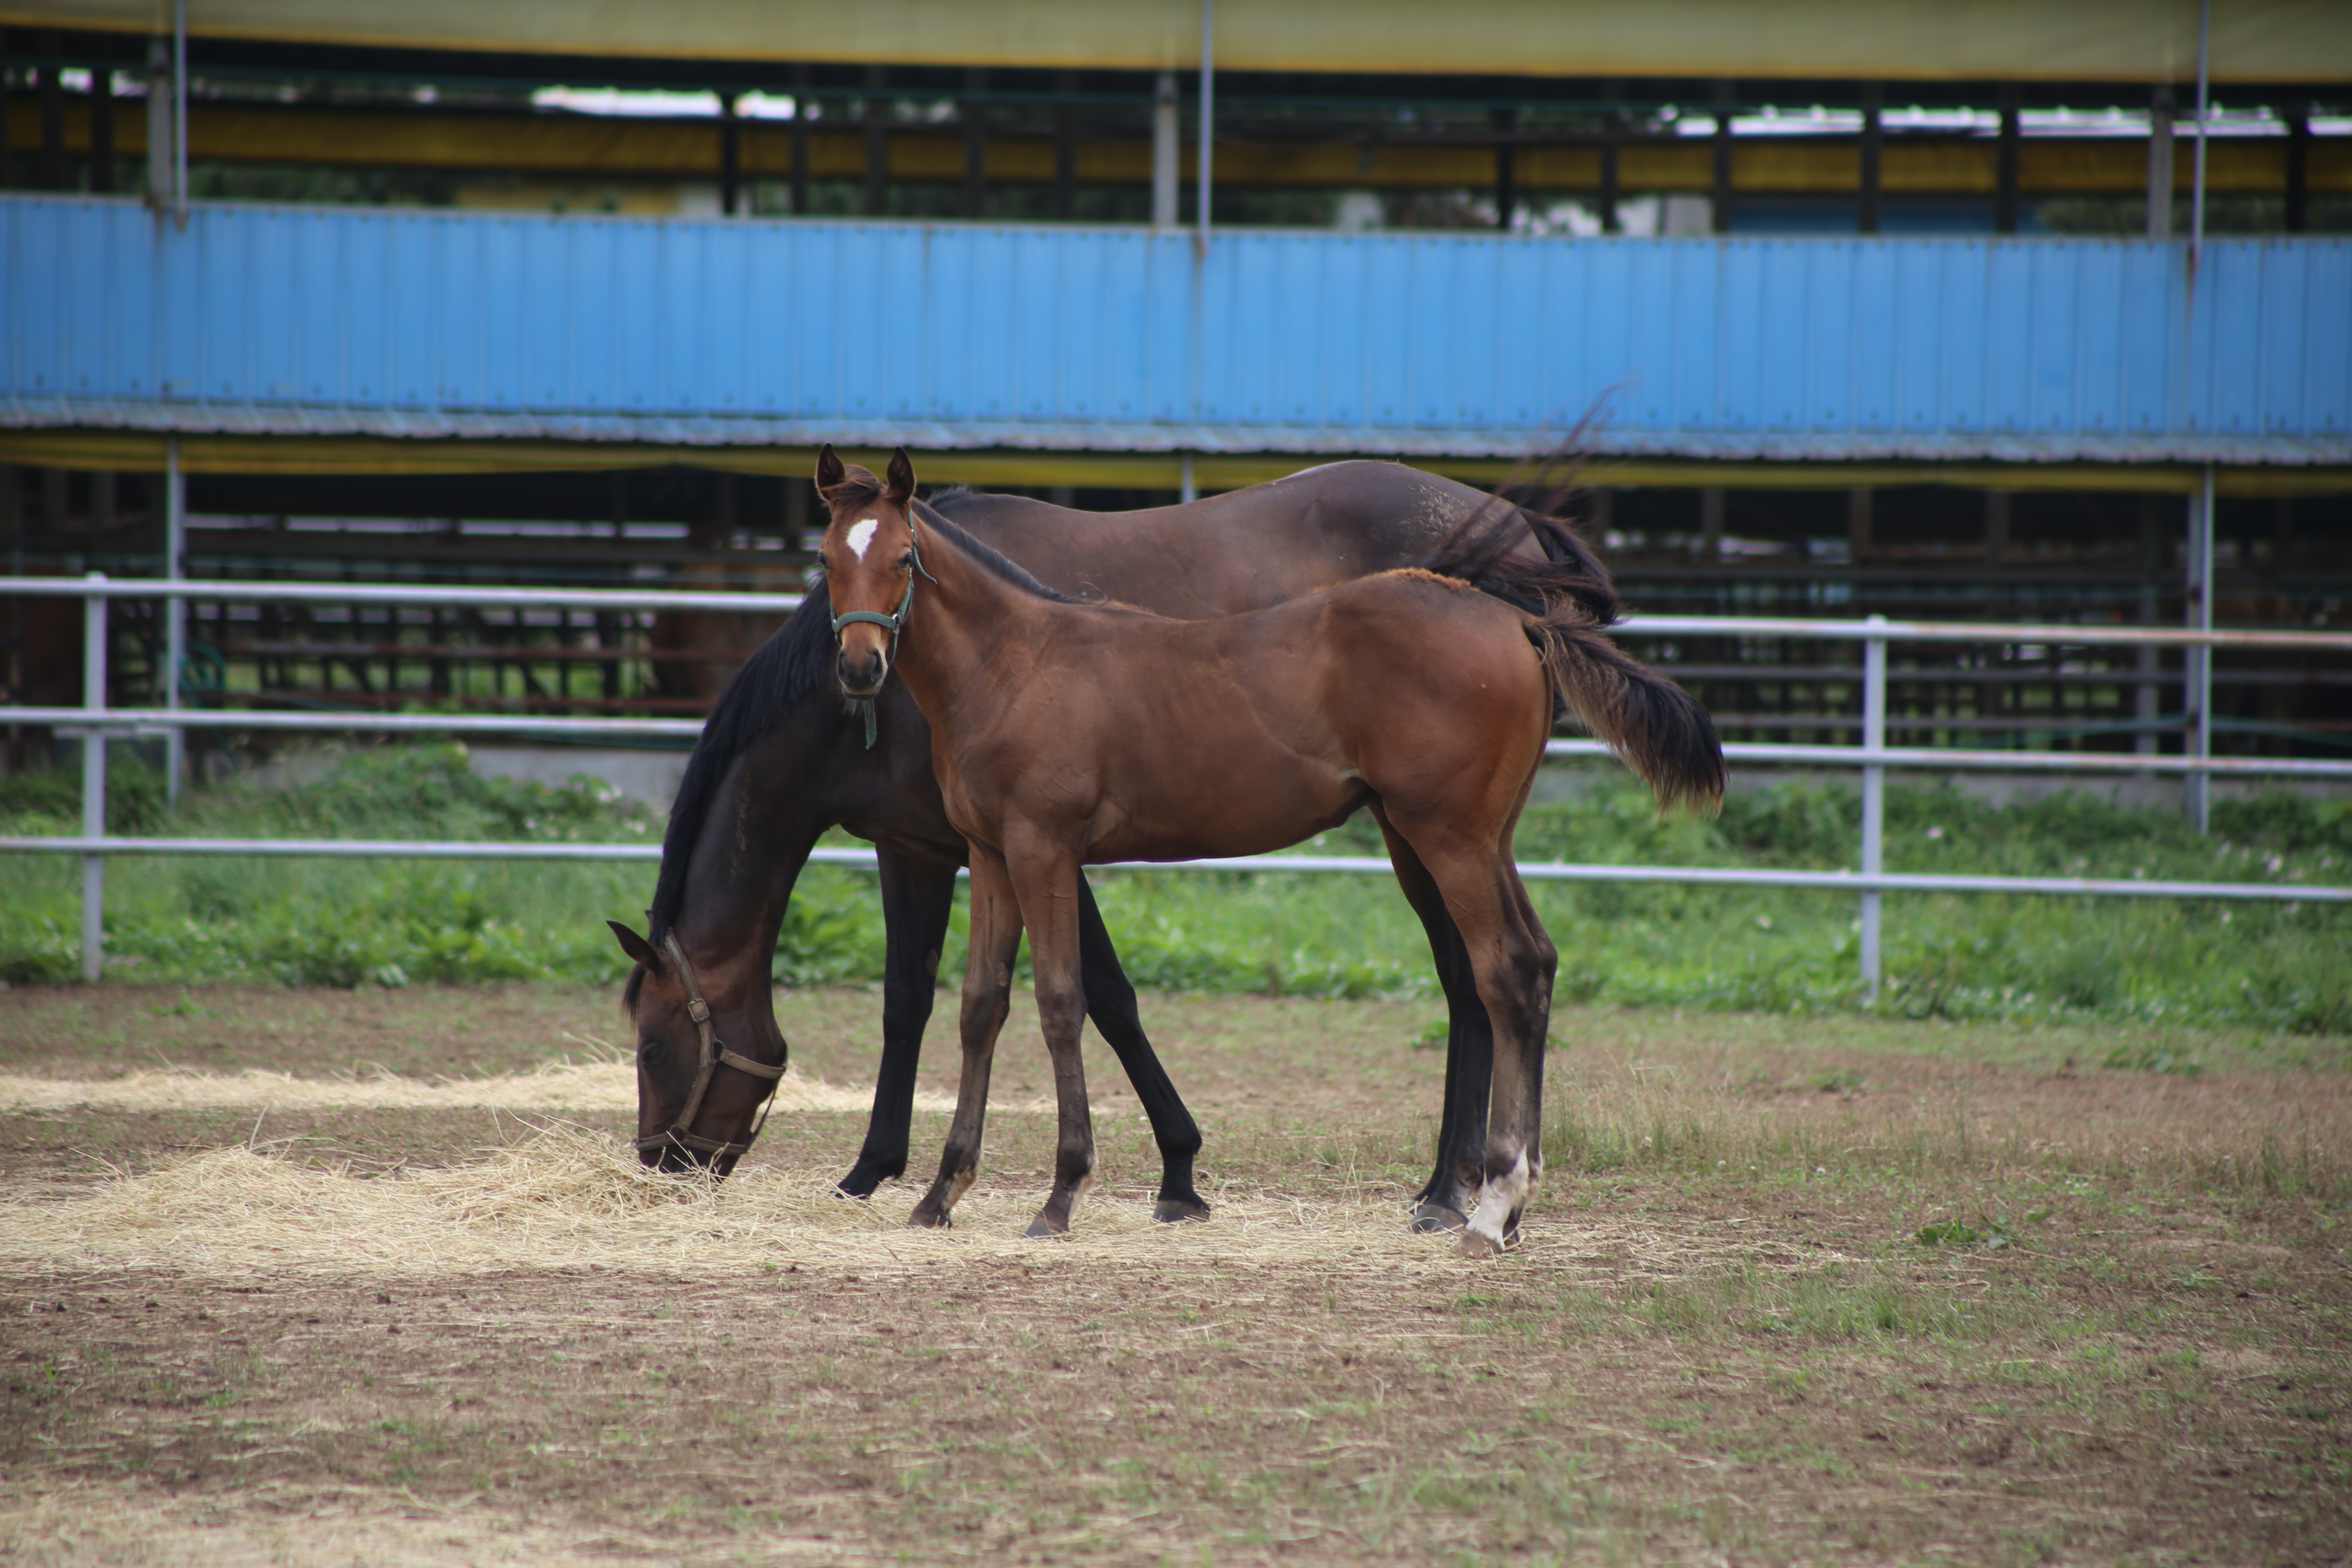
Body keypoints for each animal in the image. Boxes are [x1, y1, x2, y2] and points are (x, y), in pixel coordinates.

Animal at [828, 446, 1731, 1260]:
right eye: (829, 559)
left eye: (904, 557)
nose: (860, 666)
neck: (1018, 659)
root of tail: (1516, 618)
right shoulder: (988, 853)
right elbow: (982, 1005)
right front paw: (941, 1195)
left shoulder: (1043, 847)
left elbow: (1060, 1003)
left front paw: (1060, 1197)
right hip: (1482, 839)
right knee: (1535, 963)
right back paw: (1505, 1209)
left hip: (1449, 838)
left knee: (1502, 972)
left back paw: (1486, 1209)